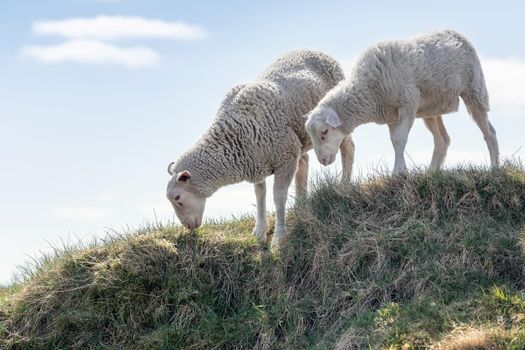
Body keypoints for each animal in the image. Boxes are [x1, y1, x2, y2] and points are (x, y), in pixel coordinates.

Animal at [166, 49, 350, 249]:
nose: (188, 227)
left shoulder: (284, 157)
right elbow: (260, 195)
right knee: (303, 164)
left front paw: (279, 238)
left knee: (348, 148)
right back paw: (301, 207)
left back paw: (344, 185)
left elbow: (278, 197)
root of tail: (312, 50)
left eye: (177, 198)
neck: (233, 136)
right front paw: (260, 231)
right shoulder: (257, 164)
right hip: (298, 139)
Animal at [302, 30, 500, 175]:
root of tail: (456, 33)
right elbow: (394, 141)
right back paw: (431, 173)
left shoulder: (407, 103)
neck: (369, 90)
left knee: (489, 131)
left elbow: (400, 139)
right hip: (431, 108)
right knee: (442, 140)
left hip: (474, 89)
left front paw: (397, 172)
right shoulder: (392, 115)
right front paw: (403, 171)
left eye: (324, 132)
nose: (323, 161)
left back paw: (495, 167)